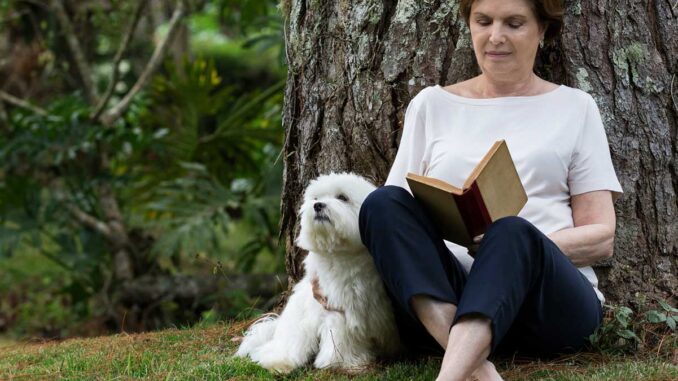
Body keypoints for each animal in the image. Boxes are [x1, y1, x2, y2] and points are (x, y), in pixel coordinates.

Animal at [235, 171, 402, 372]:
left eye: (342, 197)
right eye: (316, 198)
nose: (318, 205)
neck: (344, 255)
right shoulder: (338, 309)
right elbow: (343, 338)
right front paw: (343, 363)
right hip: (297, 327)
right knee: (282, 347)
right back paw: (278, 363)